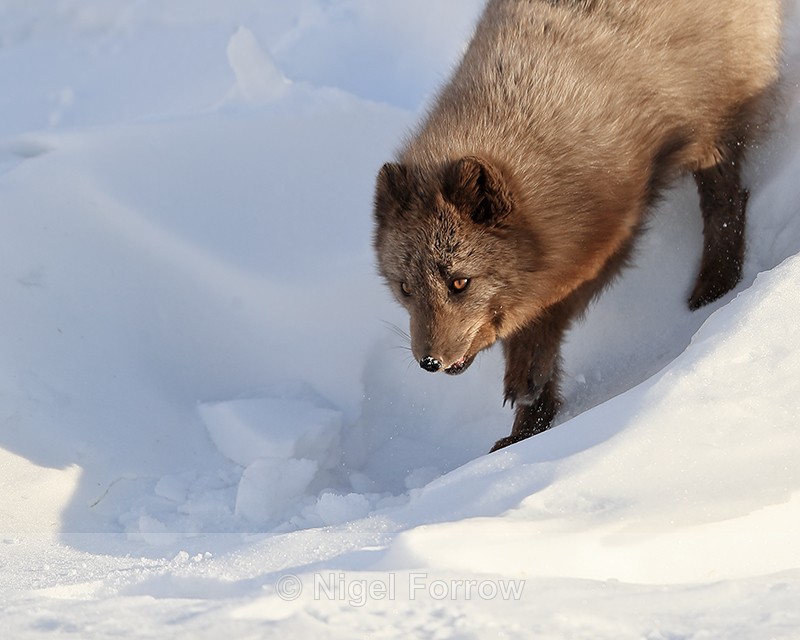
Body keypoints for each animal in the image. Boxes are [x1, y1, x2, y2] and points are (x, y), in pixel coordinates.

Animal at [373, 0, 783, 452]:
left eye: (460, 282)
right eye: (405, 289)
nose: (429, 361)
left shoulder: (612, 233)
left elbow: (547, 317)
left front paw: (528, 386)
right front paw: (526, 429)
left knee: (726, 200)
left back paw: (715, 287)